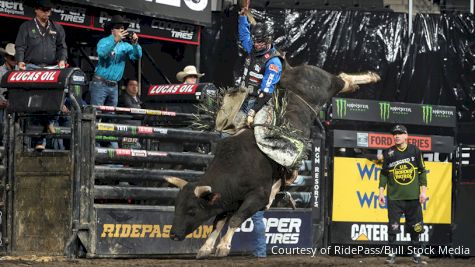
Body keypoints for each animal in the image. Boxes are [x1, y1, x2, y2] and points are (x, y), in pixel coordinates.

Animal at [165, 59, 382, 260]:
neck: (234, 165)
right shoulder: (230, 198)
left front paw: (223, 247)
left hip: (324, 85)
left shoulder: (257, 196)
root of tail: (294, 70)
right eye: (177, 206)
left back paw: (371, 77)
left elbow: (236, 219)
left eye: (192, 210)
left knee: (342, 79)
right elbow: (218, 222)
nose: (173, 235)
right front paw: (206, 248)